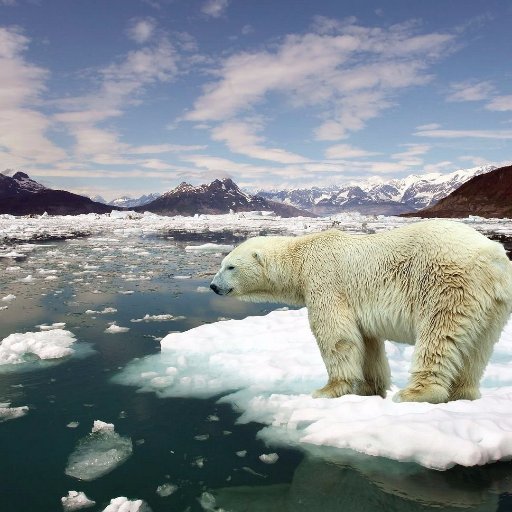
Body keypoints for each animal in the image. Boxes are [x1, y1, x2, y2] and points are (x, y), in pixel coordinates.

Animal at [210, 220, 512, 404]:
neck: (301, 256)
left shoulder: (325, 281)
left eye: (230, 267)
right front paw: (370, 389)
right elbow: (368, 343)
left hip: (447, 284)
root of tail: (492, 257)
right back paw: (463, 393)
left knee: (439, 335)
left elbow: (336, 335)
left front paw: (328, 390)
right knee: (478, 349)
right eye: (223, 263)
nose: (213, 286)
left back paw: (415, 393)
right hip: (494, 305)